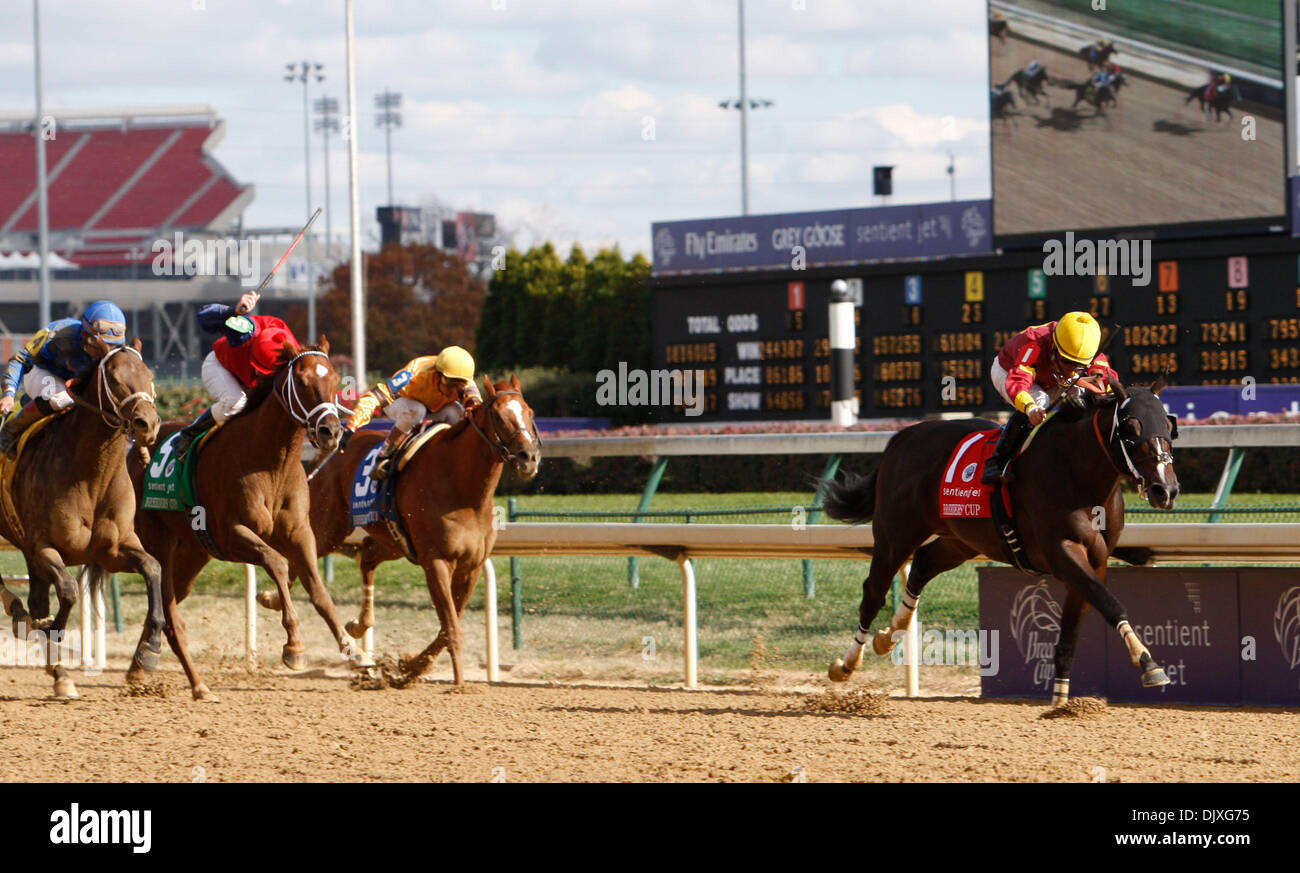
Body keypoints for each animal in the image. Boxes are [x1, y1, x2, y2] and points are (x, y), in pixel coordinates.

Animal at [0, 337, 161, 701]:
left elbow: (153, 568)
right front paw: (52, 634)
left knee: (36, 600)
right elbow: (70, 590)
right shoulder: (42, 546)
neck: (91, 476)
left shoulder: (113, 550)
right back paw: (20, 615)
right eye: (114, 379)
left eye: (149, 374)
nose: (147, 424)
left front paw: (148, 652)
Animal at [118, 337, 345, 701]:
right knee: (171, 615)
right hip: (158, 543)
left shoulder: (299, 533)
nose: (330, 431)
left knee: (167, 604)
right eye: (303, 382)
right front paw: (294, 646)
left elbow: (318, 590)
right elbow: (277, 563)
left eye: (335, 379)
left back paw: (140, 665)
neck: (271, 462)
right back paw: (194, 683)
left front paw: (355, 650)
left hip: (191, 553)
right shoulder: (231, 535)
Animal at [289, 374, 538, 691]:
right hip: (328, 525)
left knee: (367, 556)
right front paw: (459, 683)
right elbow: (451, 627)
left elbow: (447, 626)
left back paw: (359, 623)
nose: (529, 457)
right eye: (497, 416)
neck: (464, 488)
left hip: (393, 540)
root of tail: (328, 454)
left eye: (529, 412)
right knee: (301, 556)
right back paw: (271, 599)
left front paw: (408, 667)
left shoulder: (471, 566)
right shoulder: (436, 561)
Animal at [826, 379, 1185, 706]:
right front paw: (1148, 663)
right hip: (894, 535)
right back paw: (845, 664)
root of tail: (900, 438)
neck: (1075, 473)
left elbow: (1073, 628)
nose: (1165, 490)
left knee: (923, 565)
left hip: (962, 539)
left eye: (1169, 425)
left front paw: (1060, 702)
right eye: (1131, 427)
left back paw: (889, 636)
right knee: (873, 592)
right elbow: (1109, 603)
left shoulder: (1094, 560)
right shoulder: (1062, 552)